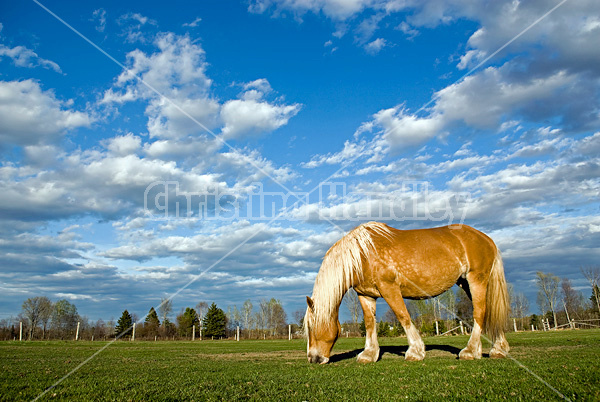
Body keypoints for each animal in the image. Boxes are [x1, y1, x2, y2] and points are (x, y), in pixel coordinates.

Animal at [308, 221, 508, 366]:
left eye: (310, 327)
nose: (313, 358)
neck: (363, 254)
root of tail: (487, 239)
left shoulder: (389, 288)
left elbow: (403, 316)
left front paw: (415, 351)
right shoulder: (366, 295)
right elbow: (370, 323)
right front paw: (369, 354)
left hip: (476, 280)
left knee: (480, 313)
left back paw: (470, 351)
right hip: (466, 283)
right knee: (489, 312)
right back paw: (498, 350)